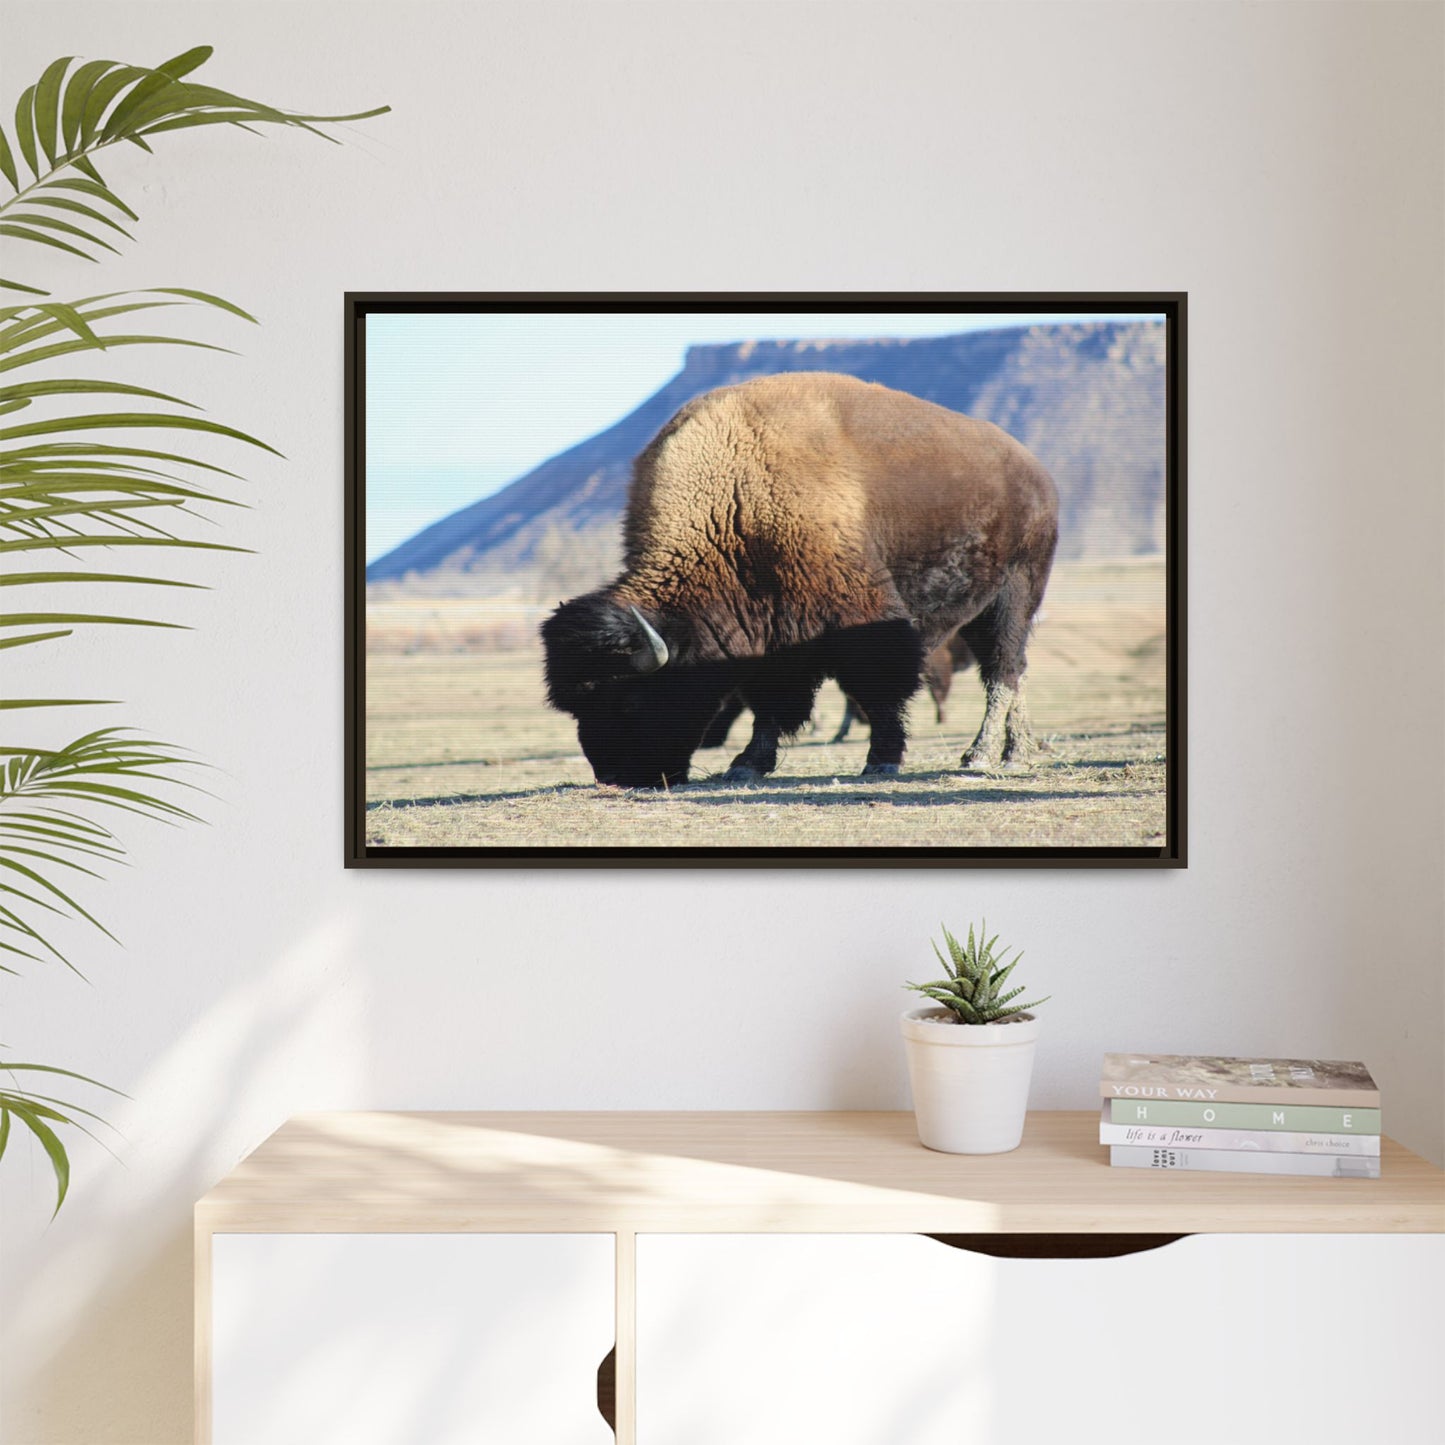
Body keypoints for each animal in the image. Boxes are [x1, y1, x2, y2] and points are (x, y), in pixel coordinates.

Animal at [542, 372, 1058, 789]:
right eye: (577, 707)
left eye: (628, 700)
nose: (615, 776)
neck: (734, 502)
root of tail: (1035, 472)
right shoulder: (770, 635)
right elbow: (771, 703)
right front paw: (746, 765)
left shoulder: (862, 620)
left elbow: (879, 690)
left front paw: (882, 760)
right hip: (981, 608)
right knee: (1011, 671)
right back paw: (1016, 751)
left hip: (1015, 594)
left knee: (1003, 670)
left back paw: (986, 756)